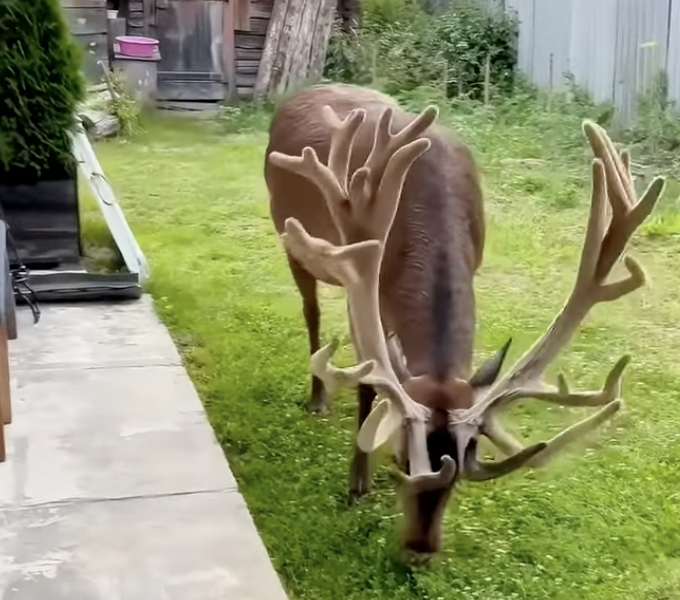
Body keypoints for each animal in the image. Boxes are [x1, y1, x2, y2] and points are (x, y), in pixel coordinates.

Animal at [264, 83, 664, 556]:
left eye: (460, 471)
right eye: (403, 458)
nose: (421, 548)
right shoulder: (362, 280)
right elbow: (367, 380)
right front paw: (358, 481)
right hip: (292, 238)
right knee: (311, 312)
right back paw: (318, 397)